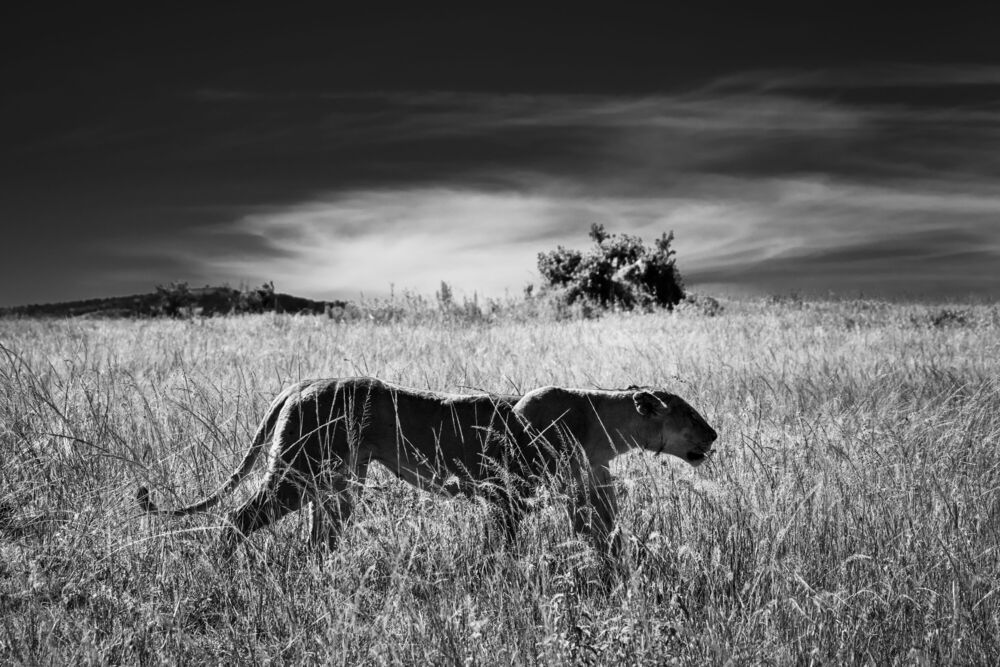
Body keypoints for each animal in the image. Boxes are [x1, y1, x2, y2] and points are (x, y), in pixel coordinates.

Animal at [137, 377, 717, 556]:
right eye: (689, 415)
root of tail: (300, 383)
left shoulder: (583, 491)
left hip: (339, 485)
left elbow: (606, 535)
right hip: (295, 475)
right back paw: (223, 564)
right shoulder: (508, 493)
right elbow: (505, 543)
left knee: (317, 538)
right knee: (236, 518)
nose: (714, 435)